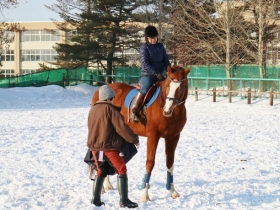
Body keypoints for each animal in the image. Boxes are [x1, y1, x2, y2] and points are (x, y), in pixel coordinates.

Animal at [91, 65, 191, 202]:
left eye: (182, 87)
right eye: (167, 85)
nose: (167, 110)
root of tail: (99, 90)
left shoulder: (173, 137)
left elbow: (170, 163)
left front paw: (172, 190)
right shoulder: (153, 136)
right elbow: (150, 162)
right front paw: (144, 193)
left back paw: (106, 184)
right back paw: (102, 187)